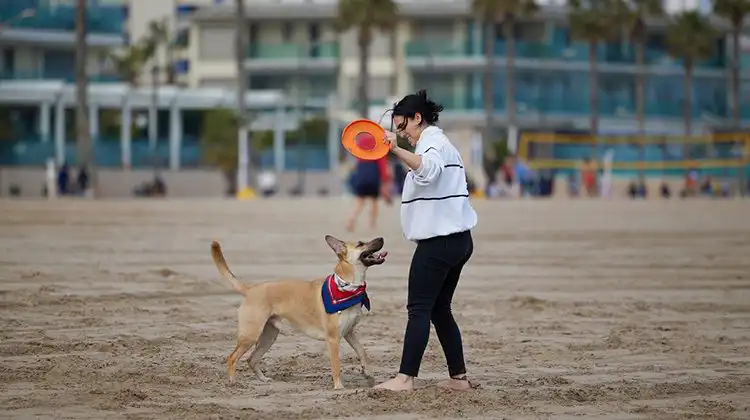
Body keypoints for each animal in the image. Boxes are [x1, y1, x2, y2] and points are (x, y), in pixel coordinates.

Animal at [210, 235, 388, 388]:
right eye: (360, 244)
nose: (381, 238)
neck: (348, 286)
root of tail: (252, 289)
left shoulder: (349, 332)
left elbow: (362, 352)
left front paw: (367, 373)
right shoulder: (333, 339)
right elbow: (336, 366)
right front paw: (339, 387)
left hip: (269, 336)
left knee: (251, 359)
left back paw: (263, 379)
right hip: (250, 335)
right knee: (232, 358)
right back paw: (233, 383)